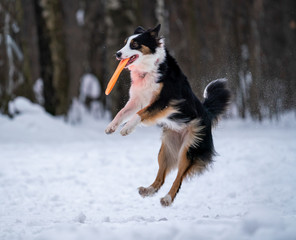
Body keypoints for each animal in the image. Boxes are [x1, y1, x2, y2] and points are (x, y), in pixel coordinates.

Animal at [104, 25, 231, 207]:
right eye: (125, 43)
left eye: (135, 44)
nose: (117, 54)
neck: (150, 67)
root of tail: (207, 114)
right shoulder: (138, 99)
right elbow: (123, 112)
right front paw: (111, 126)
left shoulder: (165, 101)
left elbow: (140, 114)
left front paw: (127, 128)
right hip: (166, 149)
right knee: (161, 177)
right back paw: (148, 190)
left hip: (189, 149)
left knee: (178, 178)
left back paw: (168, 198)